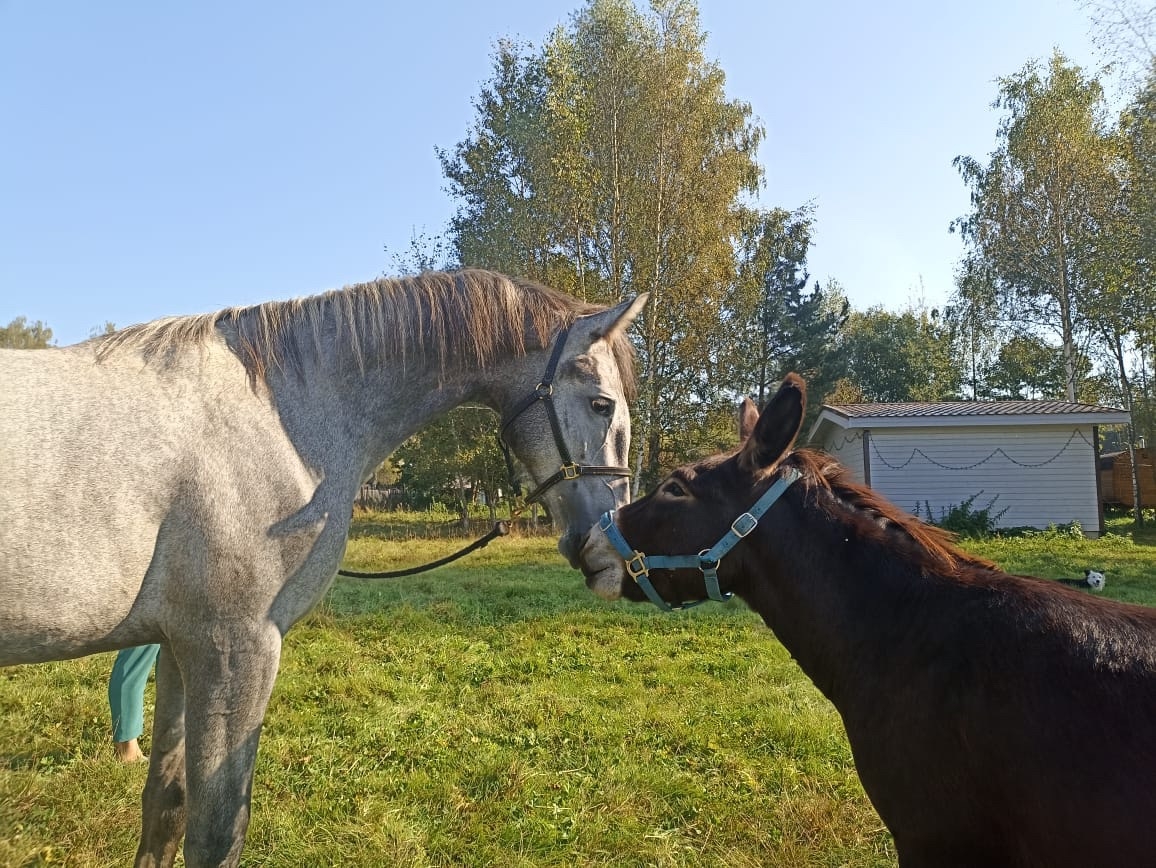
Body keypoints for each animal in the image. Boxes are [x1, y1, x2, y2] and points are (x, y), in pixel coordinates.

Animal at [0, 269, 646, 868]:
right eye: (601, 404)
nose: (611, 550)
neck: (285, 415)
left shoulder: (181, 649)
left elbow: (166, 806)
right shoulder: (233, 649)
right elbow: (216, 834)